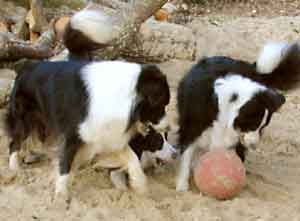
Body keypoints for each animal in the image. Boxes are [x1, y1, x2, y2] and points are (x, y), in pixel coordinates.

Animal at [5, 59, 173, 198]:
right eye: (161, 105)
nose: (169, 127)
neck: (128, 96)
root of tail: (25, 67)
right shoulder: (74, 133)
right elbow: (66, 162)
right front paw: (61, 194)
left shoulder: (106, 133)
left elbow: (132, 157)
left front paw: (140, 185)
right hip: (24, 116)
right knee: (15, 141)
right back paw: (14, 168)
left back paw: (29, 156)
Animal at [175, 41, 300, 192]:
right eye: (253, 124)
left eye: (262, 128)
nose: (254, 146)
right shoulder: (192, 126)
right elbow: (186, 155)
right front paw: (182, 186)